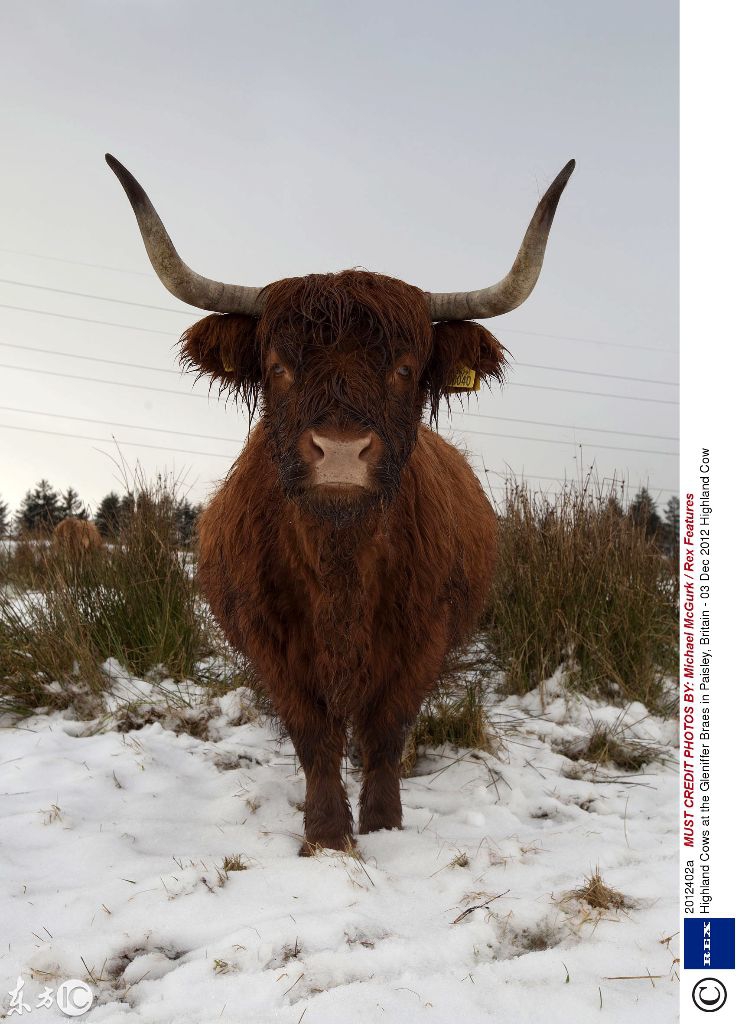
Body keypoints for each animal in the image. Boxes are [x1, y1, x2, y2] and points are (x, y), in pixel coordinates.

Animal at [108, 153, 573, 856]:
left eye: (406, 369)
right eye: (277, 365)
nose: (341, 451)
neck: (341, 563)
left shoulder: (421, 640)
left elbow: (386, 730)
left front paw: (383, 823)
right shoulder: (274, 645)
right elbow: (313, 734)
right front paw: (327, 833)